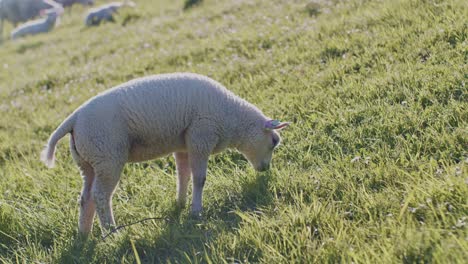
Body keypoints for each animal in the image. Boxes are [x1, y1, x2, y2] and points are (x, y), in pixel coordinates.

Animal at [40, 72, 288, 235]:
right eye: (274, 142)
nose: (265, 169)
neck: (232, 118)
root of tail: (74, 119)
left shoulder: (184, 143)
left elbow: (183, 175)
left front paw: (180, 203)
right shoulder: (201, 137)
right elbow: (199, 178)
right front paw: (196, 212)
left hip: (89, 162)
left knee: (86, 198)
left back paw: (84, 235)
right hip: (107, 156)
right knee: (100, 196)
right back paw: (112, 233)